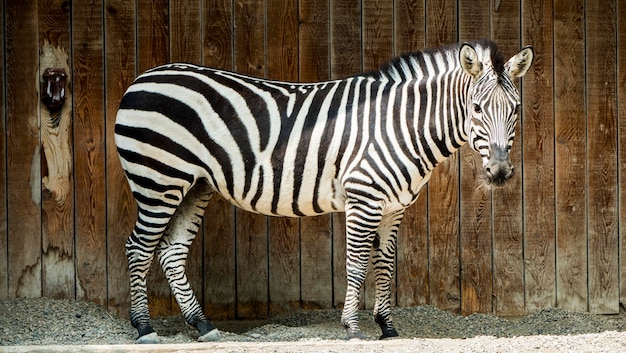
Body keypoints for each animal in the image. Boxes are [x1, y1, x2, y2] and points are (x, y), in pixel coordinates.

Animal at [113, 38, 532, 340]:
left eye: (515, 109)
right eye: (476, 109)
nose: (499, 172)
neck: (401, 124)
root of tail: (142, 77)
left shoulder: (394, 206)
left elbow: (385, 263)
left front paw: (387, 327)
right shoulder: (364, 197)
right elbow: (357, 264)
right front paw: (352, 328)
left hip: (194, 184)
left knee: (171, 252)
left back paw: (202, 325)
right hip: (158, 180)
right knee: (138, 248)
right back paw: (144, 327)